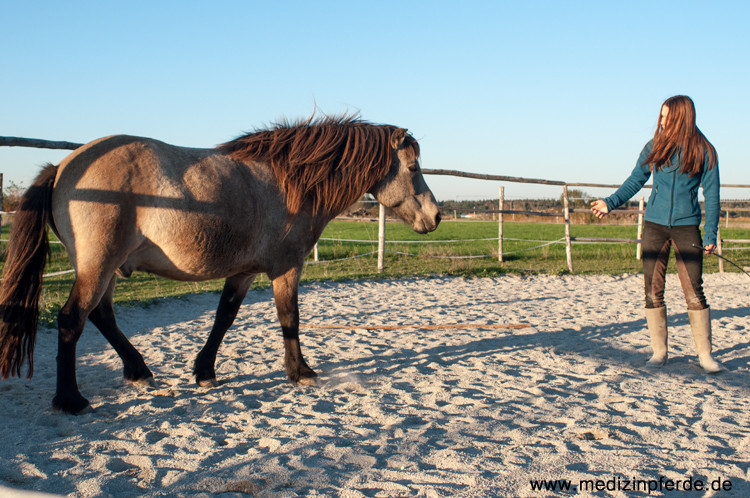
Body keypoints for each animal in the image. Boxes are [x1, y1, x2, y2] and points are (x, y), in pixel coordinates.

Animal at [0, 115, 440, 412]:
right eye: (414, 167)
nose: (435, 217)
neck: (289, 181)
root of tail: (63, 166)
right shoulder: (286, 267)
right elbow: (289, 319)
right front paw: (300, 372)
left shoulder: (243, 272)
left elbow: (223, 318)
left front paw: (205, 372)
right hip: (99, 265)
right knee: (72, 318)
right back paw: (70, 399)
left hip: (106, 269)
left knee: (101, 316)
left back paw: (139, 372)